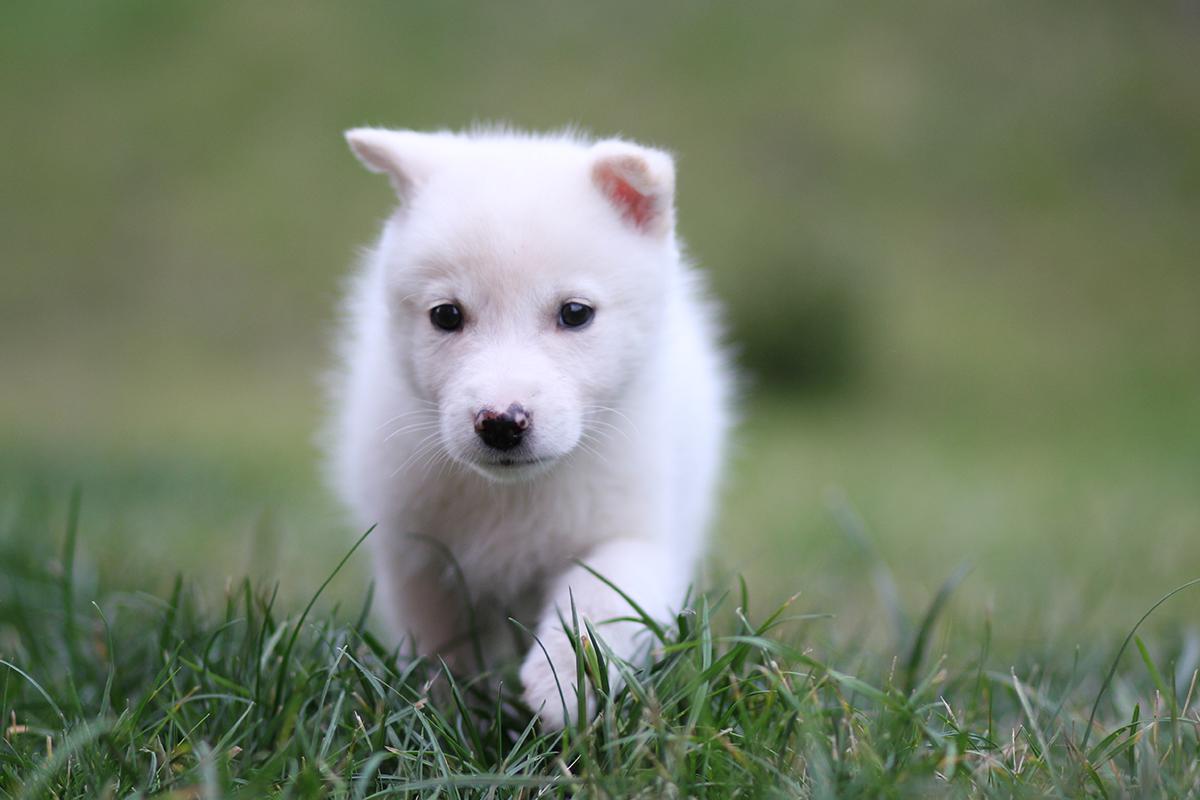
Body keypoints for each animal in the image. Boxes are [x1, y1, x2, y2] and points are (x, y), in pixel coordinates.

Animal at [328, 125, 734, 724]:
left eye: (575, 313)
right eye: (446, 315)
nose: (500, 423)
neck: (514, 497)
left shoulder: (637, 533)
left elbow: (599, 600)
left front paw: (566, 682)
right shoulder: (417, 554)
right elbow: (440, 649)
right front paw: (444, 715)